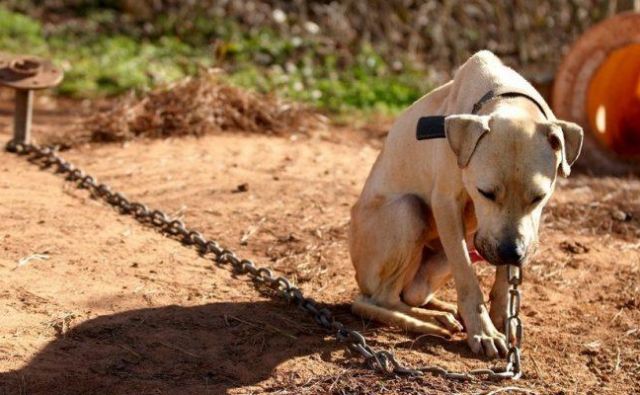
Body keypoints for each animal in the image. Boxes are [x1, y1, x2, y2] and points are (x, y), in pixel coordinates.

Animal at [348, 51, 584, 358]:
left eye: (539, 197)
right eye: (485, 192)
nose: (511, 252)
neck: (503, 94)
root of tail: (359, 276)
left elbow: (504, 279)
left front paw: (502, 319)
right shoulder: (447, 205)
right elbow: (468, 279)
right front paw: (484, 332)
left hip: (446, 258)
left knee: (409, 294)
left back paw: (441, 309)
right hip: (408, 211)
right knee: (381, 299)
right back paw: (432, 320)